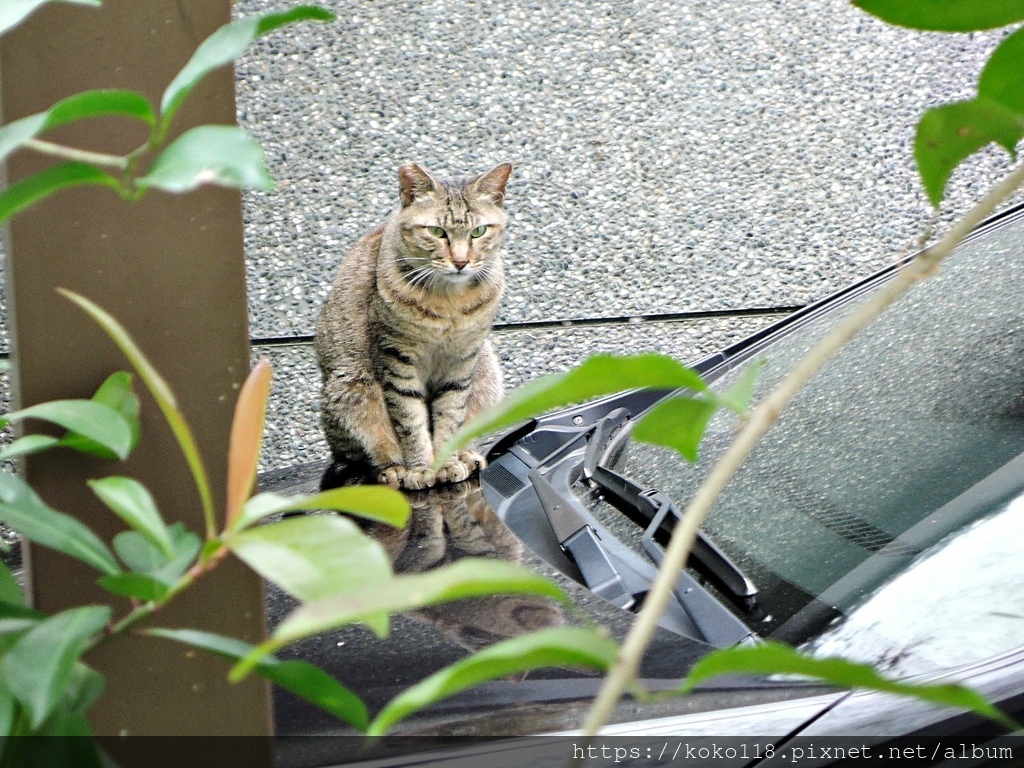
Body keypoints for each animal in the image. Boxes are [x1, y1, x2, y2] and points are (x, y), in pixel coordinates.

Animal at [313, 160, 509, 493]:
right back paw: (392, 470)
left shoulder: (463, 359)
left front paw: (447, 462)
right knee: (363, 458)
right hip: (351, 388)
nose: (461, 262)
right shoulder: (395, 357)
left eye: (479, 231)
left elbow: (451, 414)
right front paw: (421, 469)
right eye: (437, 231)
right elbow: (409, 420)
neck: (449, 303)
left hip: (487, 372)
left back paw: (467, 456)